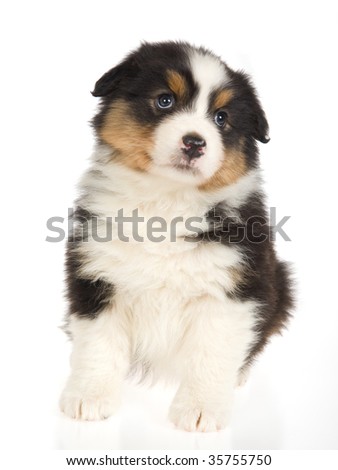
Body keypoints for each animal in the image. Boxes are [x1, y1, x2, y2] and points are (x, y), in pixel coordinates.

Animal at [60, 42, 294, 432]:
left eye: (221, 118)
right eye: (165, 100)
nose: (195, 143)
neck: (166, 202)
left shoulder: (232, 287)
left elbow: (212, 352)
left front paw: (200, 409)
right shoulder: (95, 273)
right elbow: (98, 343)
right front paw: (88, 398)